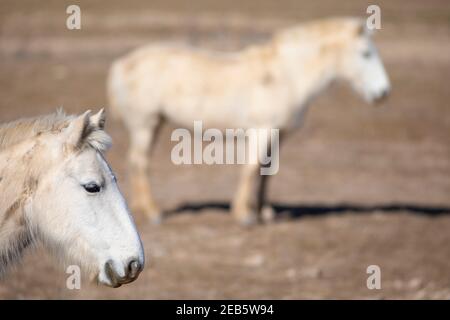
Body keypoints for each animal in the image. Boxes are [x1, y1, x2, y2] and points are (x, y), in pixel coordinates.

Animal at [108, 16, 390, 225]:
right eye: (366, 53)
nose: (383, 93)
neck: (288, 75)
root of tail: (122, 64)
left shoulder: (278, 134)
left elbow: (267, 170)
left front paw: (264, 211)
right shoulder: (261, 130)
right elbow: (251, 167)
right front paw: (244, 215)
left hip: (153, 124)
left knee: (137, 162)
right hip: (145, 124)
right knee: (140, 162)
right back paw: (153, 212)